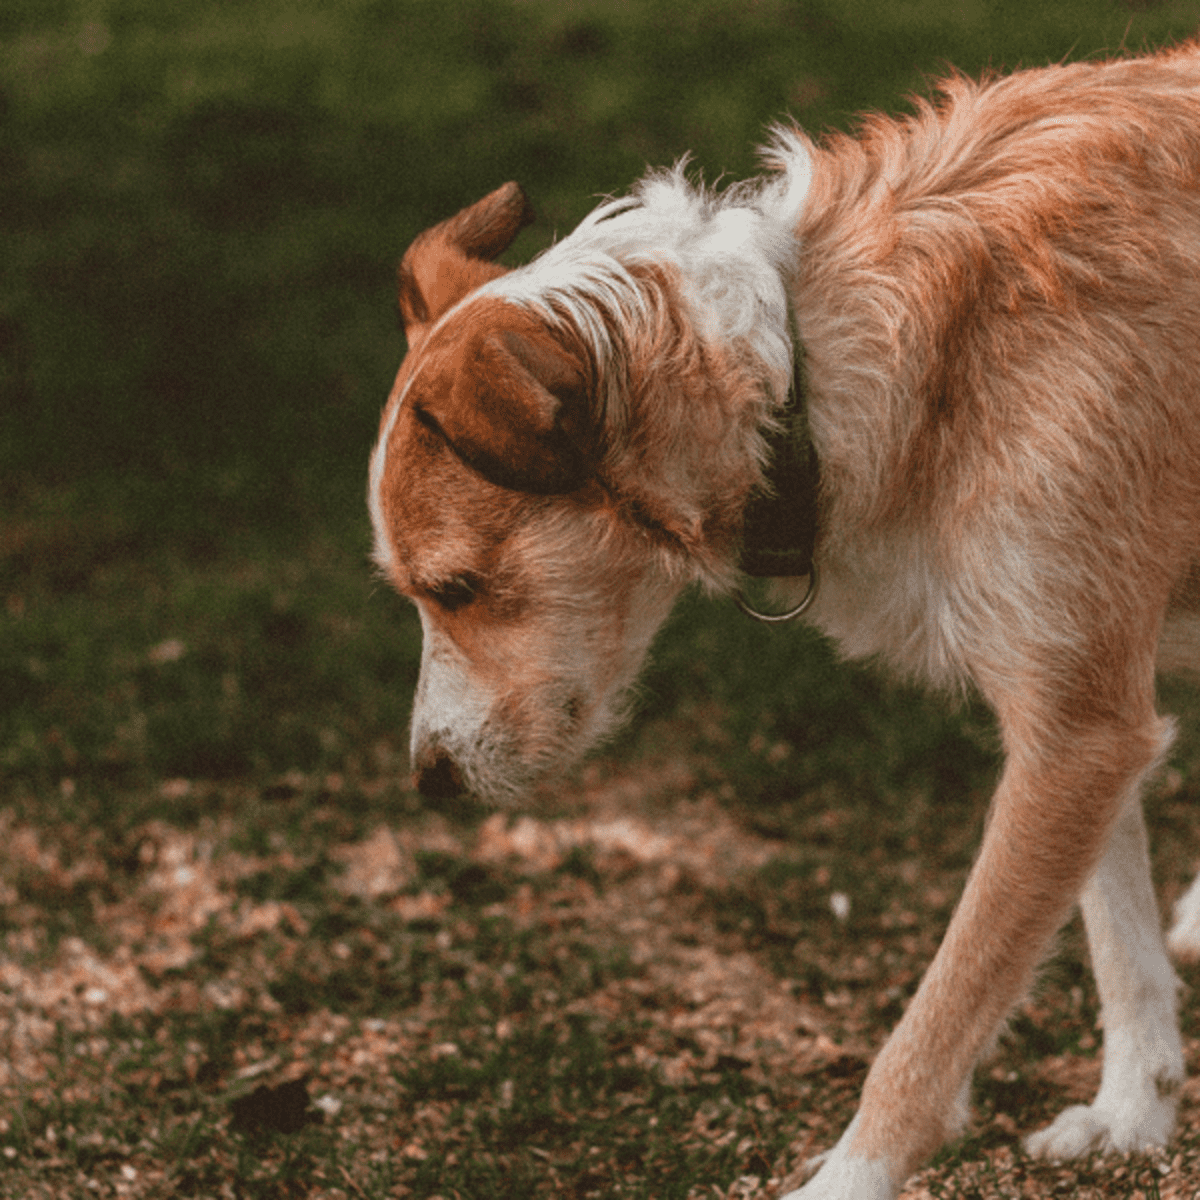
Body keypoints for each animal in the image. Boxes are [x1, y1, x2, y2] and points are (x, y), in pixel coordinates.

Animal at [369, 39, 1200, 1200]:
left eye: (454, 589)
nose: (429, 779)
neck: (799, 367)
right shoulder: (1079, 703)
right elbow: (1117, 939)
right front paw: (1134, 1110)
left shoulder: (1079, 731)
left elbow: (938, 1023)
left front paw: (851, 1176)